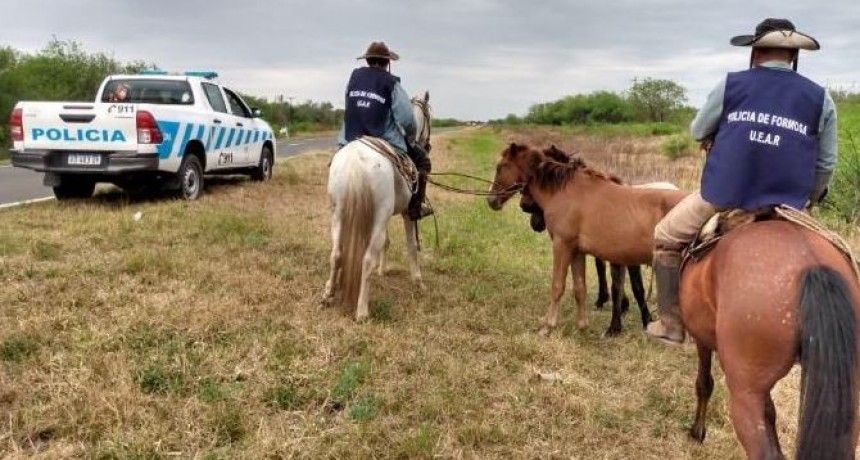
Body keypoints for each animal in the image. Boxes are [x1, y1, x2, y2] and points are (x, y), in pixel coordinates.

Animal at [322, 91, 432, 321]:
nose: (427, 145)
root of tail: (356, 159)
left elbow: (387, 243)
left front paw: (383, 271)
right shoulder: (406, 214)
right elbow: (411, 245)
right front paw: (418, 282)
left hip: (339, 213)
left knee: (336, 254)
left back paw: (329, 293)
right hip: (379, 216)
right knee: (366, 259)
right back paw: (362, 311)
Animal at [487, 142, 688, 336]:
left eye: (500, 166)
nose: (491, 200)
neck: (566, 191)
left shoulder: (562, 245)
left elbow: (557, 285)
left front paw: (548, 326)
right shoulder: (577, 251)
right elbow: (579, 288)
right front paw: (582, 326)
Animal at [682, 216, 860, 459]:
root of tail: (813, 265)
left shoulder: (702, 340)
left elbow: (704, 383)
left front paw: (697, 431)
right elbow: (769, 411)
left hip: (745, 394)